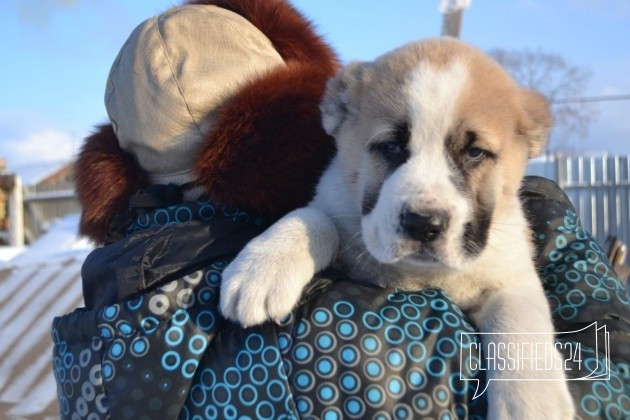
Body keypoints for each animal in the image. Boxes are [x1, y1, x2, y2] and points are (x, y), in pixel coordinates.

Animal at [222, 38, 576, 416]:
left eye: (475, 153)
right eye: (391, 146)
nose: (424, 223)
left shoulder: (512, 278)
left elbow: (520, 321)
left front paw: (533, 405)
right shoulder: (338, 206)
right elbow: (316, 217)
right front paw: (263, 267)